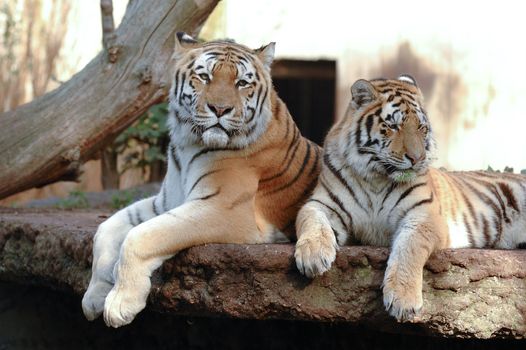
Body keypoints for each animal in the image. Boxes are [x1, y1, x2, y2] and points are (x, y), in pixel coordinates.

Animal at [82, 33, 322, 328]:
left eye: (242, 83)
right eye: (205, 77)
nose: (220, 109)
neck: (187, 144)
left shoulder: (221, 207)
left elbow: (141, 235)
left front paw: (120, 302)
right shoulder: (165, 202)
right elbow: (106, 228)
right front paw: (94, 298)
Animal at [296, 75, 526, 322]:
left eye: (421, 127)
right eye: (393, 126)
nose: (417, 159)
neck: (376, 177)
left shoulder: (424, 214)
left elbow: (409, 247)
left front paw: (403, 300)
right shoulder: (322, 204)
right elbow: (311, 221)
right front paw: (312, 256)